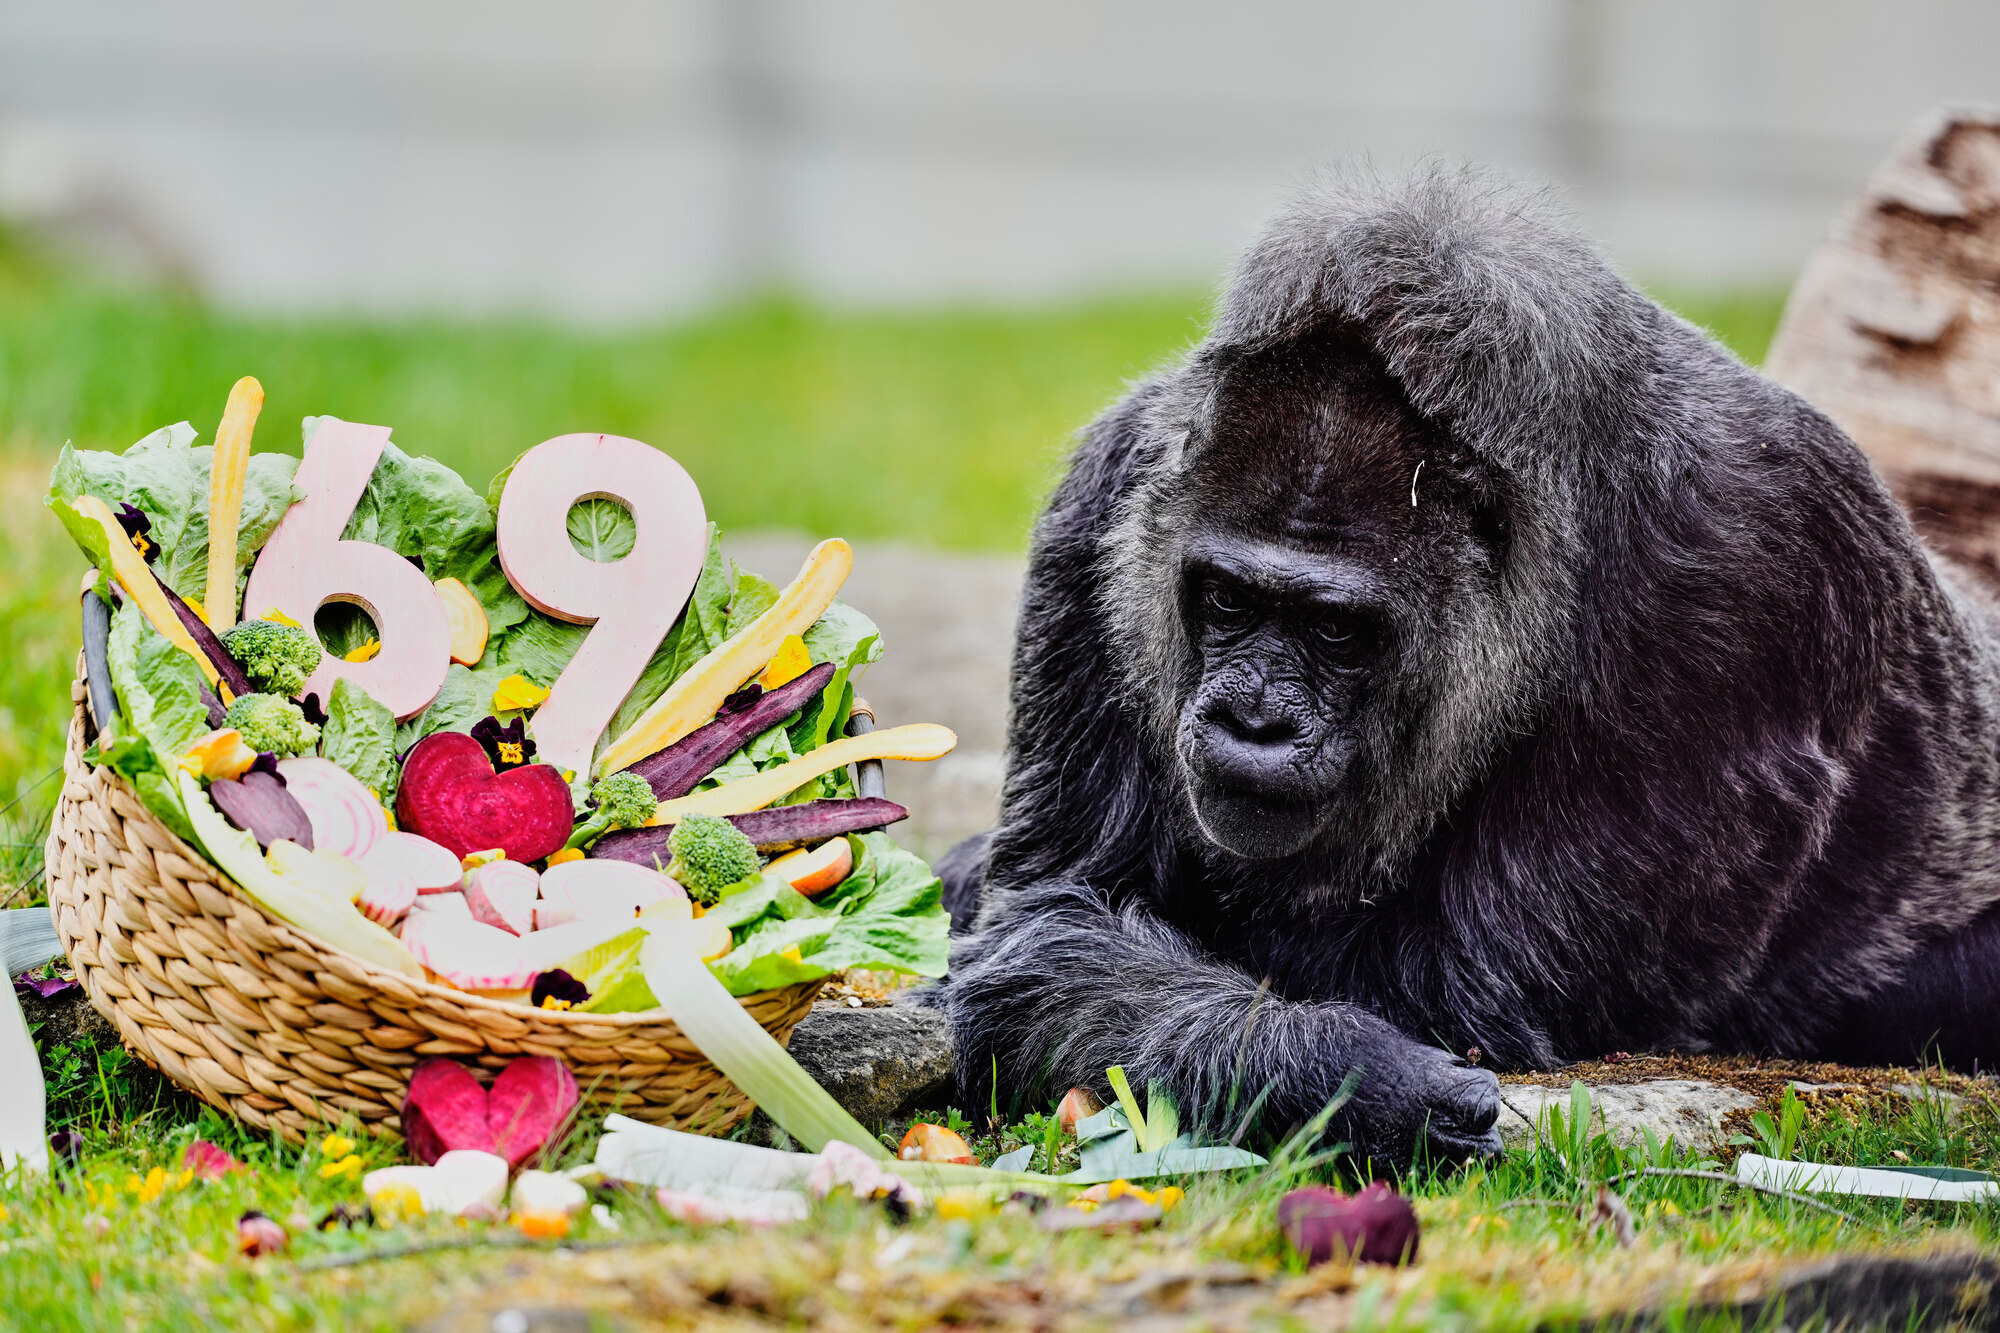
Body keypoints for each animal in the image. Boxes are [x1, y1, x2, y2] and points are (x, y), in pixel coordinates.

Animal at [933, 166, 2000, 1164]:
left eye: (1336, 632)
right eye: (1230, 600)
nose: (1254, 721)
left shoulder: (1756, 567)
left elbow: (1451, 988)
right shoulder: (1106, 496)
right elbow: (1055, 917)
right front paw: (1335, 1070)